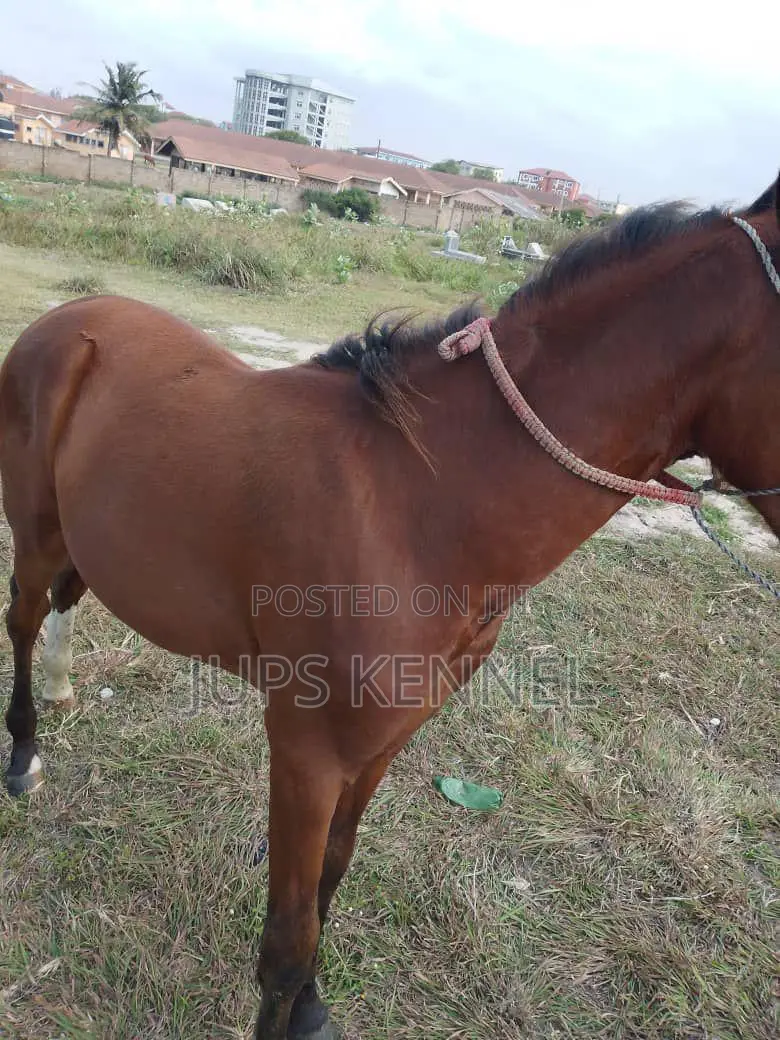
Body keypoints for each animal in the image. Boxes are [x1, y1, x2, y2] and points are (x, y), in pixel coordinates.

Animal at [1, 173, 778, 1040]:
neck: (419, 507)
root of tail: (68, 319)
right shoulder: (305, 753)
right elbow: (288, 939)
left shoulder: (383, 743)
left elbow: (331, 883)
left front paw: (311, 1007)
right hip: (34, 531)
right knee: (23, 618)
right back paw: (24, 752)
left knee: (68, 595)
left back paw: (64, 686)